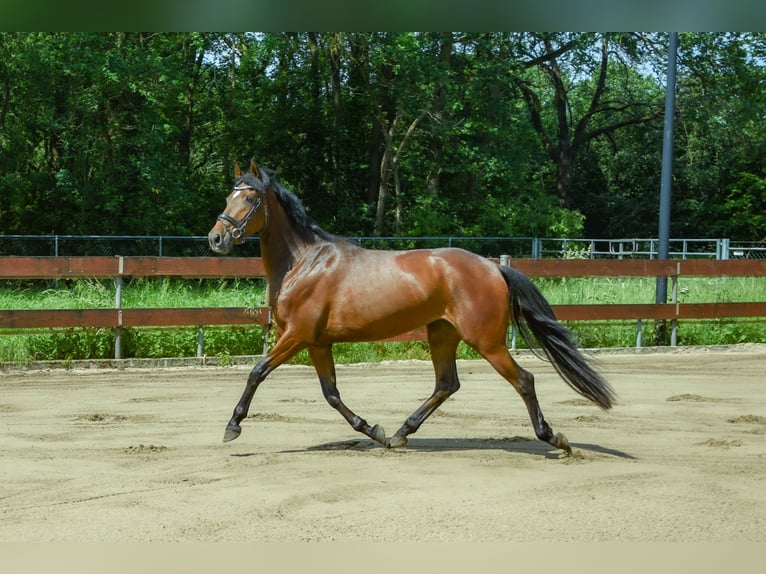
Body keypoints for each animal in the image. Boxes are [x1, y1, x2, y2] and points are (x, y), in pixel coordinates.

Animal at [208, 160, 616, 455]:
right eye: (228, 196)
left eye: (250, 199)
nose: (216, 238)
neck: (304, 262)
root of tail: (492, 267)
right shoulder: (318, 342)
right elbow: (332, 394)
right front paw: (373, 430)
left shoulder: (297, 336)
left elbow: (257, 372)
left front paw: (232, 427)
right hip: (442, 334)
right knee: (446, 384)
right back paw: (401, 433)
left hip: (486, 341)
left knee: (523, 380)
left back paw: (555, 439)